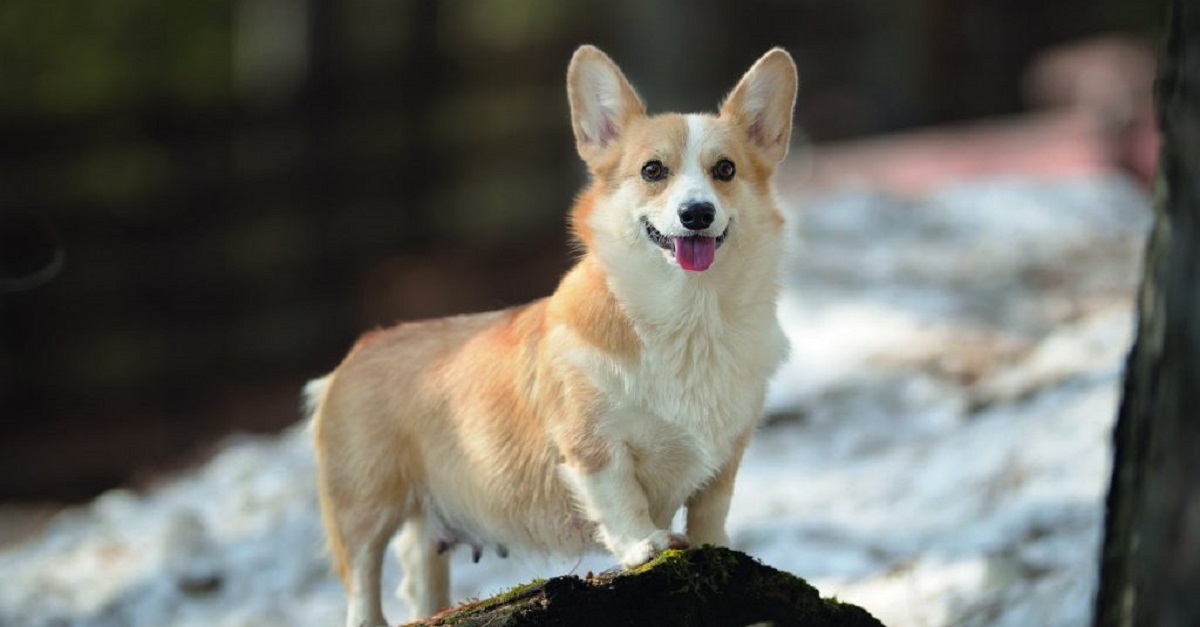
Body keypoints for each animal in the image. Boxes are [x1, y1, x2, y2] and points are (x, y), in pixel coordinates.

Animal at [307, 45, 796, 624]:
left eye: (725, 170)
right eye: (653, 170)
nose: (696, 214)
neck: (690, 317)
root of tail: (355, 353)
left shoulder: (726, 453)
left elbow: (710, 510)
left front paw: (714, 547)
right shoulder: (592, 444)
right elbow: (621, 495)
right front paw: (644, 544)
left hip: (428, 531)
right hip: (363, 511)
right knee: (362, 586)